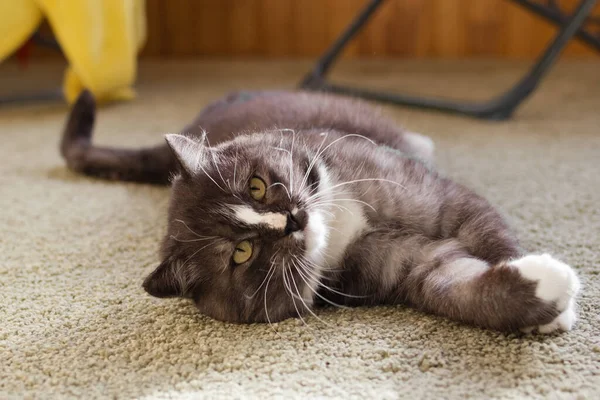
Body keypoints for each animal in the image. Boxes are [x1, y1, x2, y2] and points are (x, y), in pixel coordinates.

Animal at [62, 90, 580, 334]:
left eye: (255, 185)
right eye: (242, 253)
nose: (292, 219)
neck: (340, 221)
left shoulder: (445, 202)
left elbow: (490, 237)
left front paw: (538, 291)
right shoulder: (405, 263)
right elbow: (453, 287)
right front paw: (542, 301)